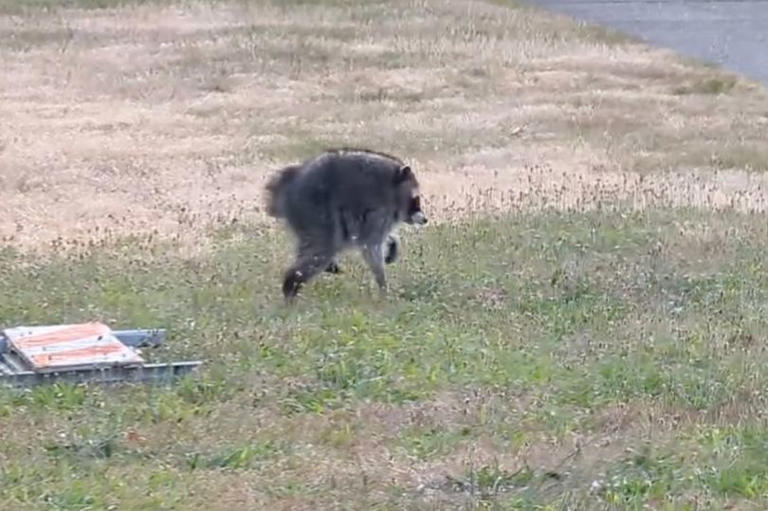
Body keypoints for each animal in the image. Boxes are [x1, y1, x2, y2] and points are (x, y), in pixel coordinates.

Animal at [264, 148, 427, 301]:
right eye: (416, 200)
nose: (425, 220)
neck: (394, 187)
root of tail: (288, 182)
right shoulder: (379, 211)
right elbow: (371, 246)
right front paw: (383, 286)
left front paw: (393, 242)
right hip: (313, 209)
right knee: (321, 249)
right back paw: (291, 285)